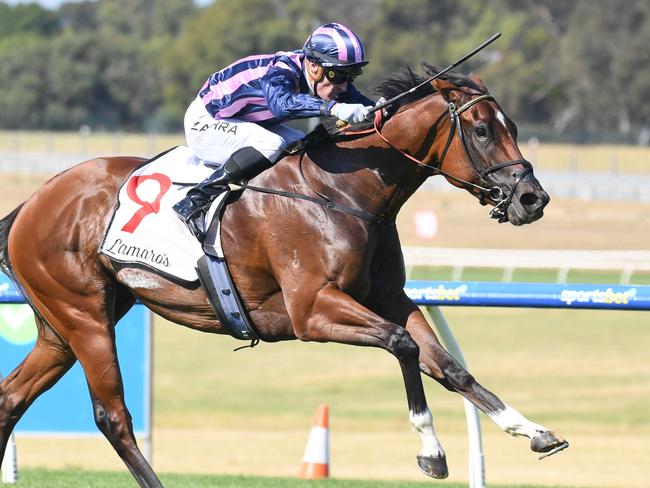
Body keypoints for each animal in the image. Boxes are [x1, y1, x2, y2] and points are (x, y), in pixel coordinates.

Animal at [0, 66, 560, 488]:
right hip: (85, 316)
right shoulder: (311, 310)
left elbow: (449, 366)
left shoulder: (390, 298)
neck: (342, 189)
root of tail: (33, 201)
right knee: (112, 416)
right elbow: (403, 346)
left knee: (10, 399)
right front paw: (431, 451)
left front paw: (532, 430)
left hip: (63, 328)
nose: (533, 198)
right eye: (483, 130)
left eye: (512, 125)